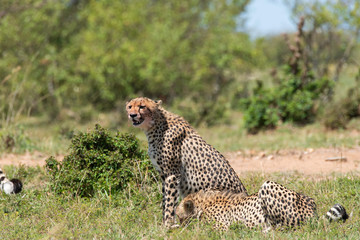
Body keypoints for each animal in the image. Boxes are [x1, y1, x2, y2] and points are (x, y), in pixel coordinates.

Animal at [126, 97, 248, 227]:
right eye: (130, 106)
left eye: (142, 106)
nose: (132, 115)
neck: (155, 124)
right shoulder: (164, 175)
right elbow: (165, 200)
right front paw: (164, 222)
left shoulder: (172, 174)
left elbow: (170, 202)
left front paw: (167, 224)